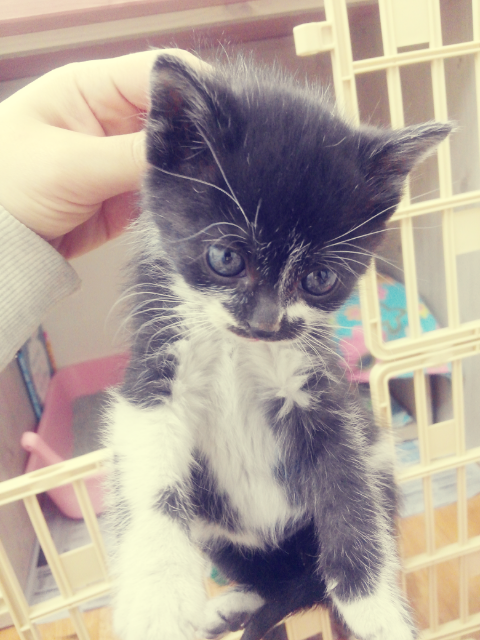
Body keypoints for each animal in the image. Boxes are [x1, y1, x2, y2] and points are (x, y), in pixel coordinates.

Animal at [104, 53, 451, 640]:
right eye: (225, 258)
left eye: (319, 278)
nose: (267, 322)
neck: (236, 350)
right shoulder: (153, 373)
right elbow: (151, 475)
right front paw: (158, 599)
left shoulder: (322, 393)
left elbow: (349, 492)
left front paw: (375, 609)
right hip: (218, 530)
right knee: (274, 580)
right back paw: (228, 607)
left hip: (381, 463)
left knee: (311, 580)